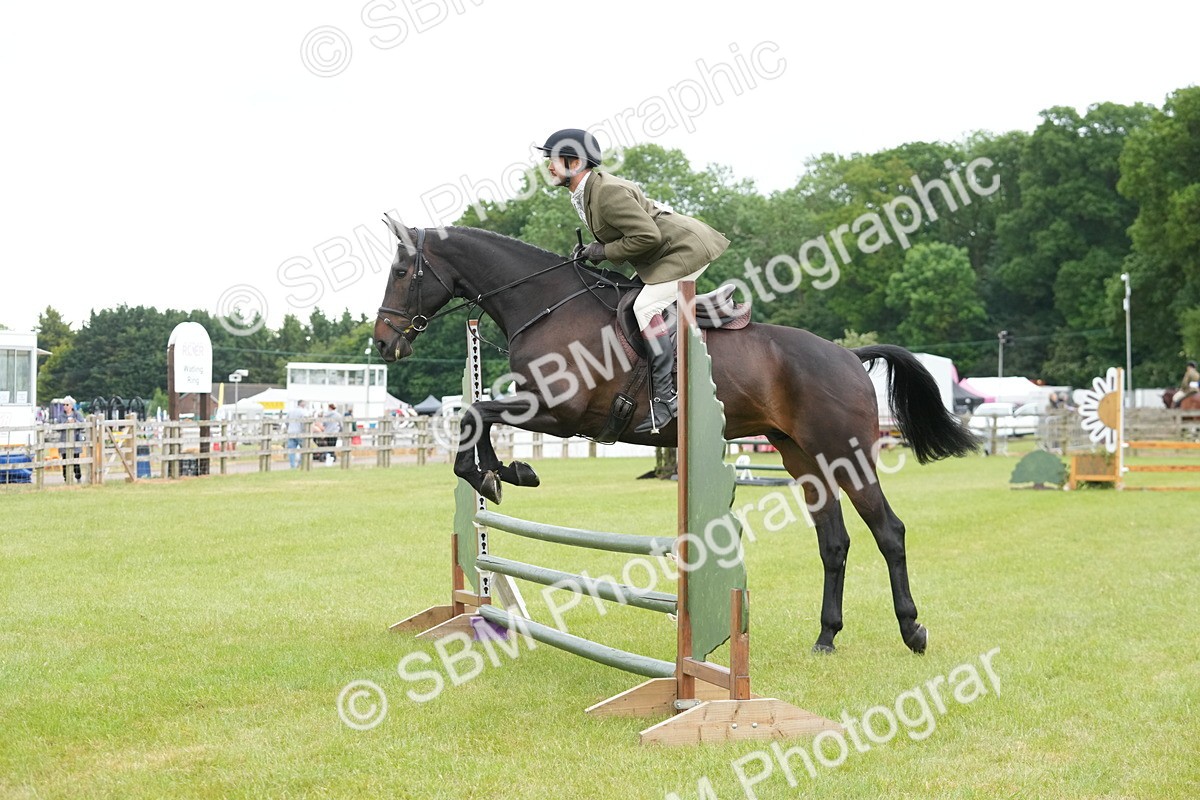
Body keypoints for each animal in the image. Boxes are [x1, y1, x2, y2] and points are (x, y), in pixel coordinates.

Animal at [373, 222, 979, 655]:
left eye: (403, 270)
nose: (383, 343)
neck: (546, 306)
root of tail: (849, 355)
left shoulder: (559, 412)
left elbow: (477, 414)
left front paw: (498, 475)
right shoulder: (543, 409)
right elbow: (477, 416)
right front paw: (502, 473)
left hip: (845, 455)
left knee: (888, 531)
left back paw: (913, 631)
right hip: (802, 457)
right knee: (834, 541)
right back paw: (826, 637)